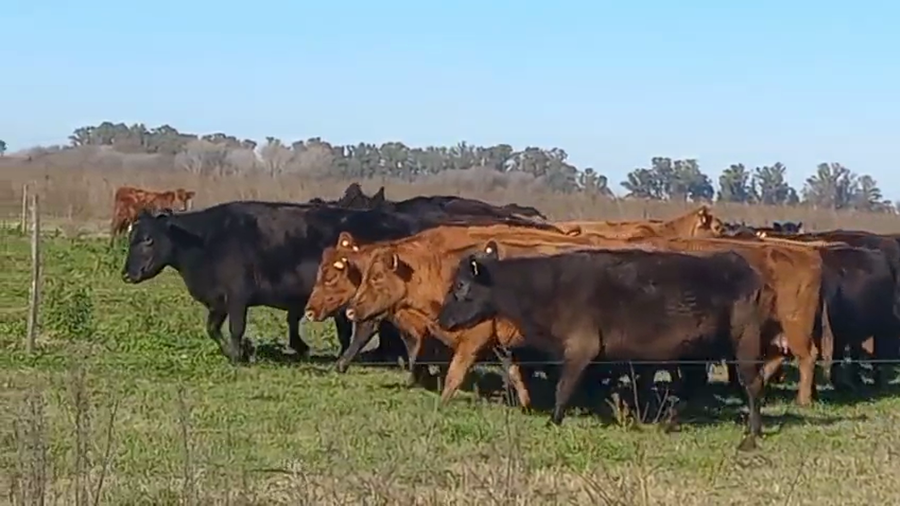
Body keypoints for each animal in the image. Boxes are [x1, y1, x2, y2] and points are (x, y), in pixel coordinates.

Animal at [436, 246, 767, 451]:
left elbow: (564, 387)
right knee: (694, 386)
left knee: (752, 385)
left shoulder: (581, 347)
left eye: (460, 286)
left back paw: (751, 437)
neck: (547, 289)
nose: (441, 319)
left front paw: (553, 420)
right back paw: (668, 423)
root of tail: (736, 261)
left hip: (745, 342)